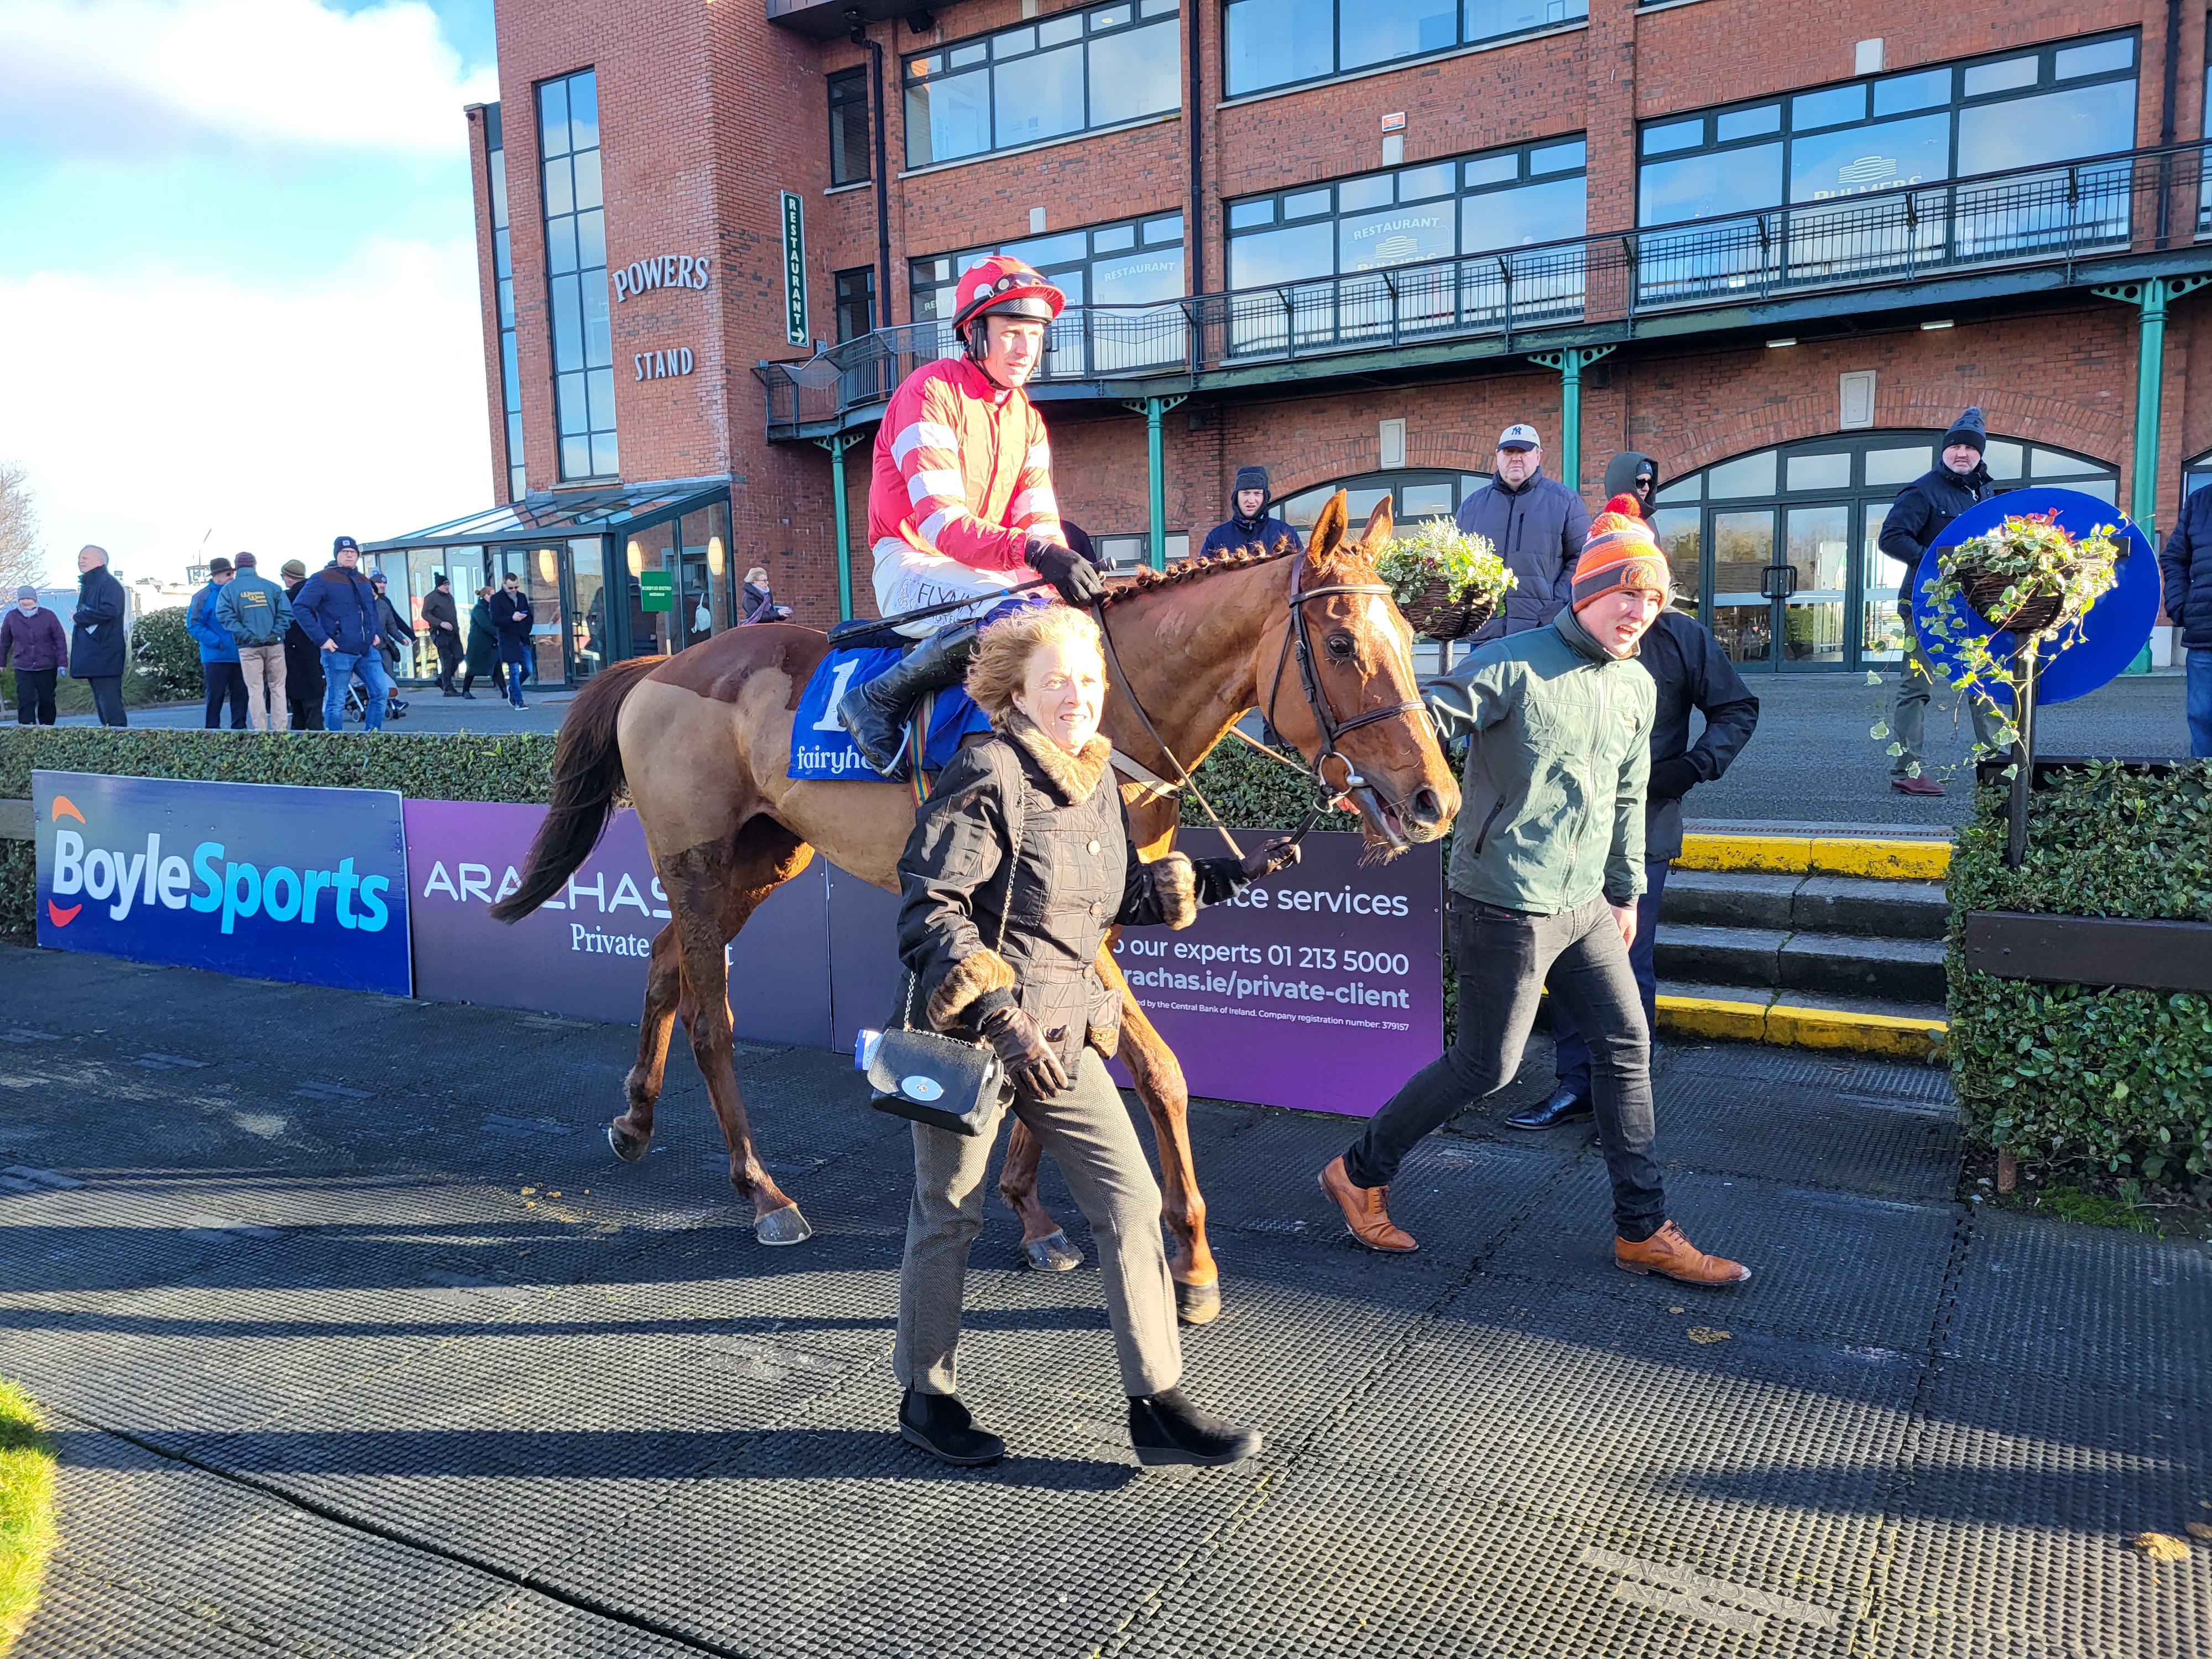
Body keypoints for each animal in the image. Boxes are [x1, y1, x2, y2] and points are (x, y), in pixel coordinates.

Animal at [489, 493, 1451, 1327]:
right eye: (1339, 642)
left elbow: (1072, 1043)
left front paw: (1033, 1214)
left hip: (762, 860)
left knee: (663, 962)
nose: (1434, 800)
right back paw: (762, 1191)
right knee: (710, 1016)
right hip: (699, 859)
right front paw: (1192, 1263)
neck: (1100, 716)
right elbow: (1159, 1071)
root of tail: (665, 665)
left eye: (1411, 634)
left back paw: (635, 1120)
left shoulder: (1099, 916)